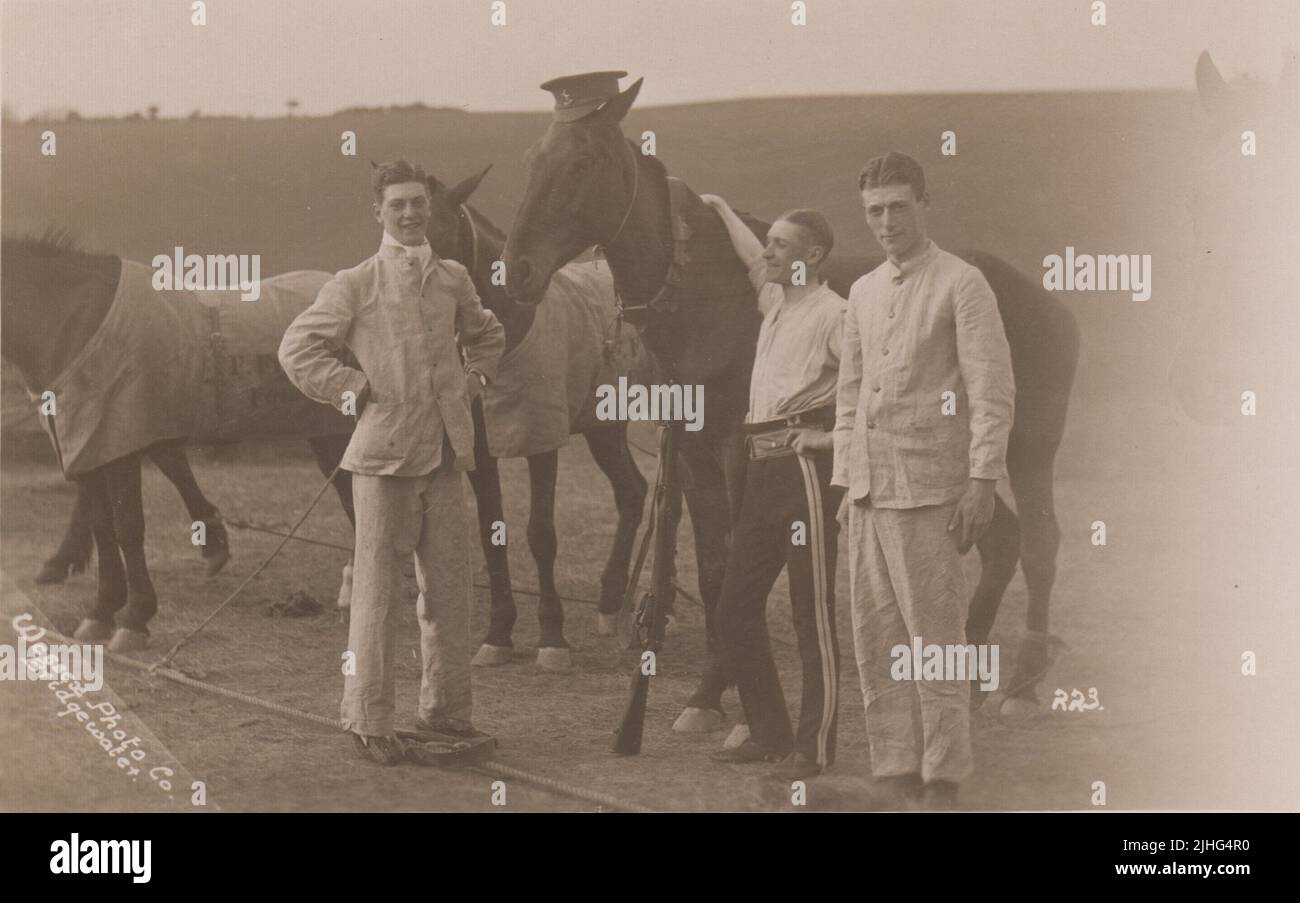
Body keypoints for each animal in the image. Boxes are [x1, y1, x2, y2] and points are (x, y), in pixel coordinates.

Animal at [501, 76, 1081, 722]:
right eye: (532, 160)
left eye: (584, 161)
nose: (516, 268)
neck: (706, 293)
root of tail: (1047, 302)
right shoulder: (694, 454)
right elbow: (715, 569)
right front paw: (714, 691)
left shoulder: (740, 450)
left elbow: (738, 563)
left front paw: (719, 687)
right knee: (1003, 539)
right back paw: (972, 668)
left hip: (1026, 449)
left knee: (1040, 542)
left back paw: (1021, 684)